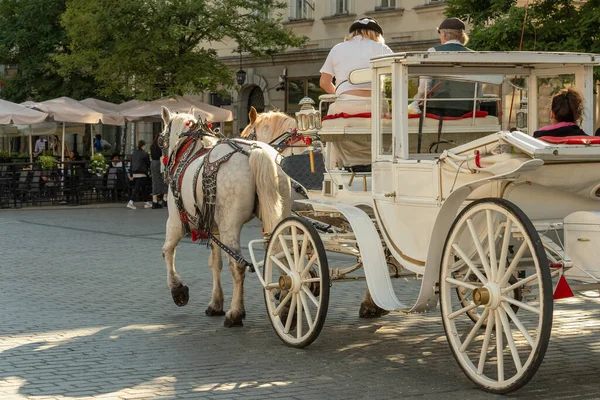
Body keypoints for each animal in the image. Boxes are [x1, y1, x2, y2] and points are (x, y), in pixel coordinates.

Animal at [159, 104, 290, 326]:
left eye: (160, 139)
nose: (161, 167)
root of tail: (257, 152)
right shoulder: (214, 229)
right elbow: (215, 264)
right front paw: (216, 303)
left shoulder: (175, 221)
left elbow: (167, 251)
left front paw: (177, 290)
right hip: (281, 212)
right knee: (285, 252)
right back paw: (289, 305)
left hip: (230, 225)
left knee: (237, 265)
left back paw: (235, 313)